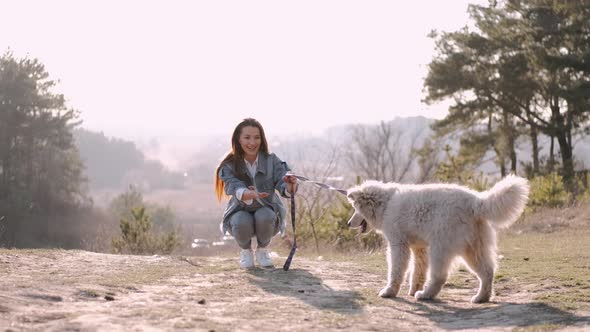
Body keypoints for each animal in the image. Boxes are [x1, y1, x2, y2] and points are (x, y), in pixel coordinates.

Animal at [346, 176, 532, 304]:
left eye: (355, 208)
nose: (348, 223)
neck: (386, 204)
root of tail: (475, 202)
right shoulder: (419, 248)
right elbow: (418, 271)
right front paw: (412, 290)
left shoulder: (399, 245)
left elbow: (396, 271)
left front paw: (389, 292)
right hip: (472, 249)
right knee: (487, 272)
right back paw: (481, 298)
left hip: (440, 248)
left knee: (440, 276)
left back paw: (425, 295)